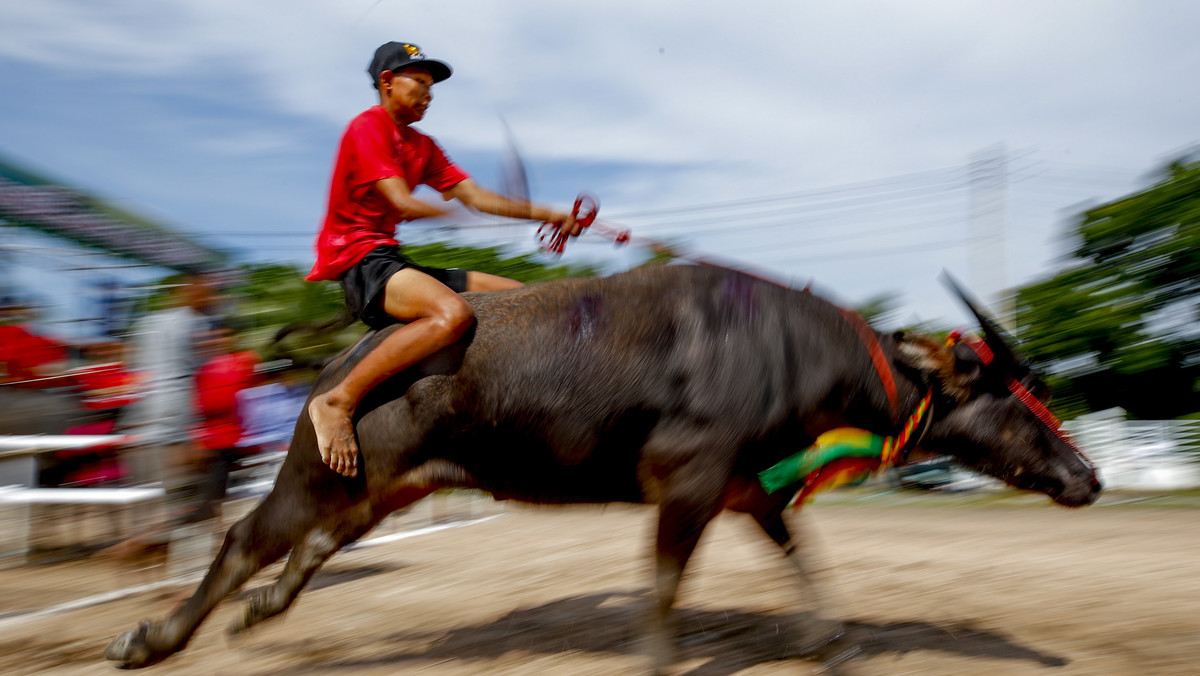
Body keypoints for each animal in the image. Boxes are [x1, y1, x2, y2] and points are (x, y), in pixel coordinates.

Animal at [103, 264, 1099, 672]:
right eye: (1012, 393)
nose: (1087, 477)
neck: (782, 354)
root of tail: (335, 367)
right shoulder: (686, 488)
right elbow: (661, 589)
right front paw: (658, 661)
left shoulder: (745, 489)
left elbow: (803, 557)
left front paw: (833, 641)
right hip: (320, 471)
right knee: (245, 537)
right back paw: (149, 640)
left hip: (390, 485)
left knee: (313, 547)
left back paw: (261, 613)